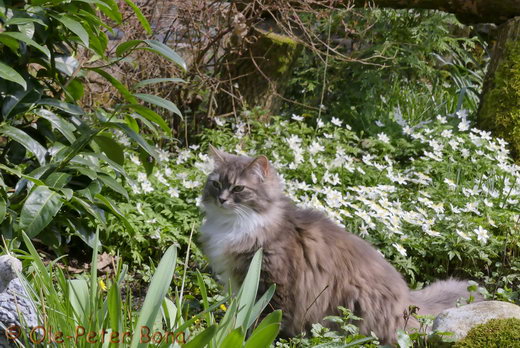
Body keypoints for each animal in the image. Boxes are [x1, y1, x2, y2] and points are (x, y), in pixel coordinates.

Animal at [198, 145, 480, 344]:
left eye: (238, 188)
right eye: (216, 184)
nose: (222, 199)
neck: (237, 225)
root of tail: (407, 300)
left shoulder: (273, 283)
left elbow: (264, 322)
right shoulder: (239, 282)